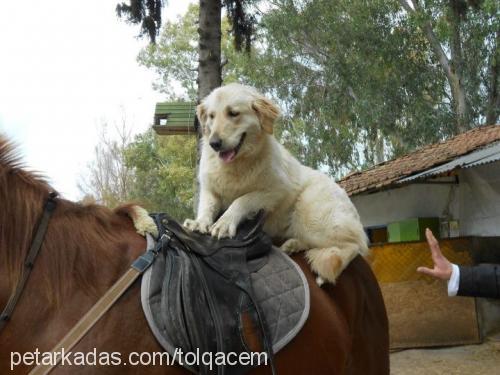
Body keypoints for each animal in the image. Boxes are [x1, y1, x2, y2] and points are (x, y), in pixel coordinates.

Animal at [184, 84, 368, 284]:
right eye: (211, 116)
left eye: (233, 113)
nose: (214, 143)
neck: (237, 164)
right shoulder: (210, 189)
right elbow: (207, 206)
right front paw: (199, 223)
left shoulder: (276, 190)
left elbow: (242, 200)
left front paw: (224, 223)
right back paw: (292, 245)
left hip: (312, 216)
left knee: (355, 245)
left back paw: (323, 274)